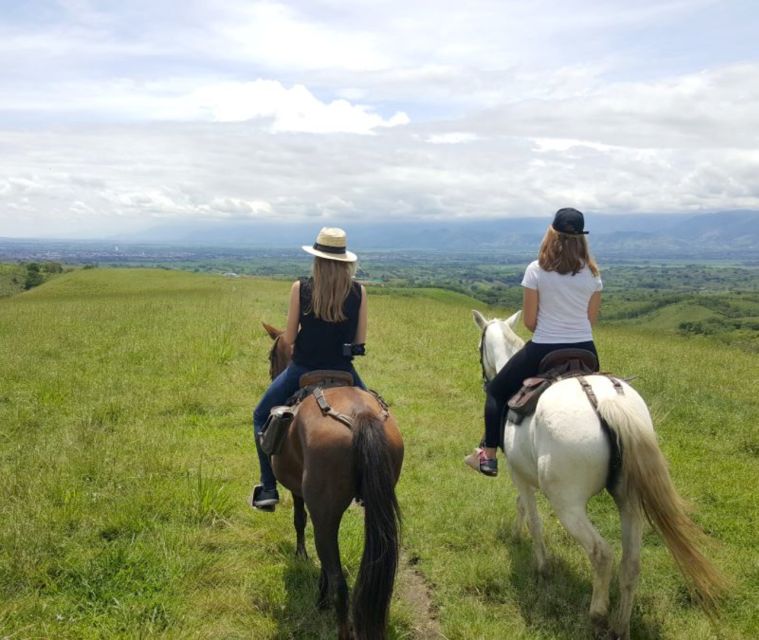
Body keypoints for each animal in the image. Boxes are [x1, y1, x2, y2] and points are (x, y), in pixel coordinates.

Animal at [262, 324, 404, 640]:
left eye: (271, 355)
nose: (272, 374)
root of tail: (361, 416)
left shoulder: (302, 494)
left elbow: (300, 521)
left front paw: (302, 557)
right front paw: (319, 596)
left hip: (326, 510)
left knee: (340, 581)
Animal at [472, 308, 728, 636]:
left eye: (479, 346)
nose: (484, 379)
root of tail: (606, 401)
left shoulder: (519, 474)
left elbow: (532, 517)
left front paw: (540, 566)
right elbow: (523, 508)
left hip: (567, 503)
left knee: (601, 553)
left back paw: (597, 614)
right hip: (630, 501)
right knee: (631, 564)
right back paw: (620, 626)